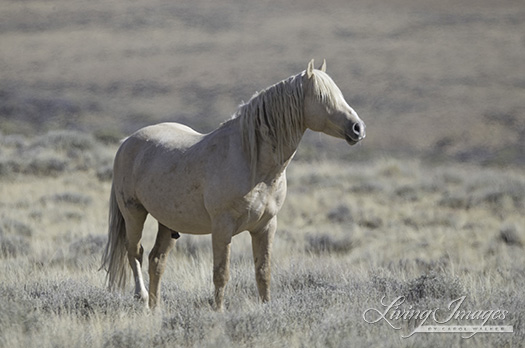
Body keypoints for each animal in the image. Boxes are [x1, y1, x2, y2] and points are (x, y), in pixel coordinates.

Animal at [101, 59, 364, 310]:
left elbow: (263, 273)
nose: (358, 128)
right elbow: (221, 274)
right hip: (134, 214)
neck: (252, 161)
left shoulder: (265, 226)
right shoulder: (222, 227)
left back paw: (155, 309)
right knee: (135, 252)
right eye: (322, 96)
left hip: (167, 223)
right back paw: (143, 298)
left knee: (156, 261)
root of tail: (127, 141)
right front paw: (219, 312)